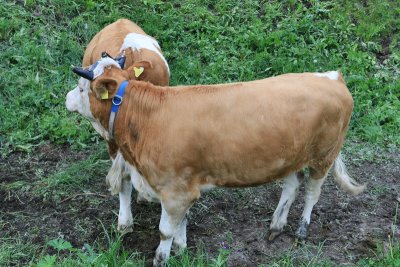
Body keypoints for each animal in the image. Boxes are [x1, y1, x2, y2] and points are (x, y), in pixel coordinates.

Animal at [65, 58, 366, 266]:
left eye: (81, 88)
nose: (66, 97)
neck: (147, 117)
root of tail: (333, 77)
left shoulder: (174, 189)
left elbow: (165, 231)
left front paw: (162, 258)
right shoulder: (184, 186)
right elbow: (181, 224)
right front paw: (182, 249)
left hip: (324, 154)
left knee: (313, 191)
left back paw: (302, 228)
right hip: (286, 157)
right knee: (293, 183)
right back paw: (275, 226)